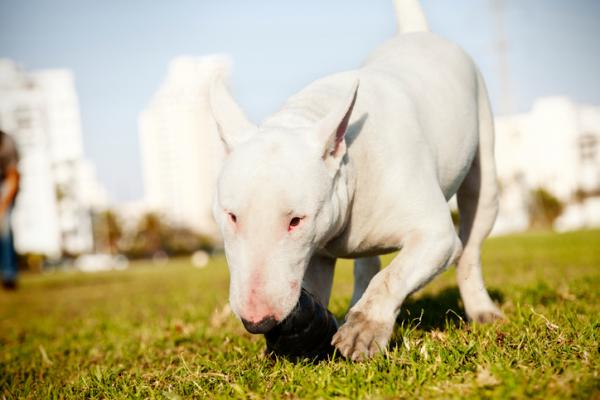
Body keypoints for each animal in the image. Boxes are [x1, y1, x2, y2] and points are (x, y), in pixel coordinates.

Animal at [211, 0, 502, 360]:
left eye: (296, 220)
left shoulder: (436, 237)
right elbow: (319, 287)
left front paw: (365, 328)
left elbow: (392, 277)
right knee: (367, 264)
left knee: (470, 246)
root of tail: (418, 33)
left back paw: (481, 309)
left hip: (483, 173)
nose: (257, 321)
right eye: (232, 217)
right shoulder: (316, 256)